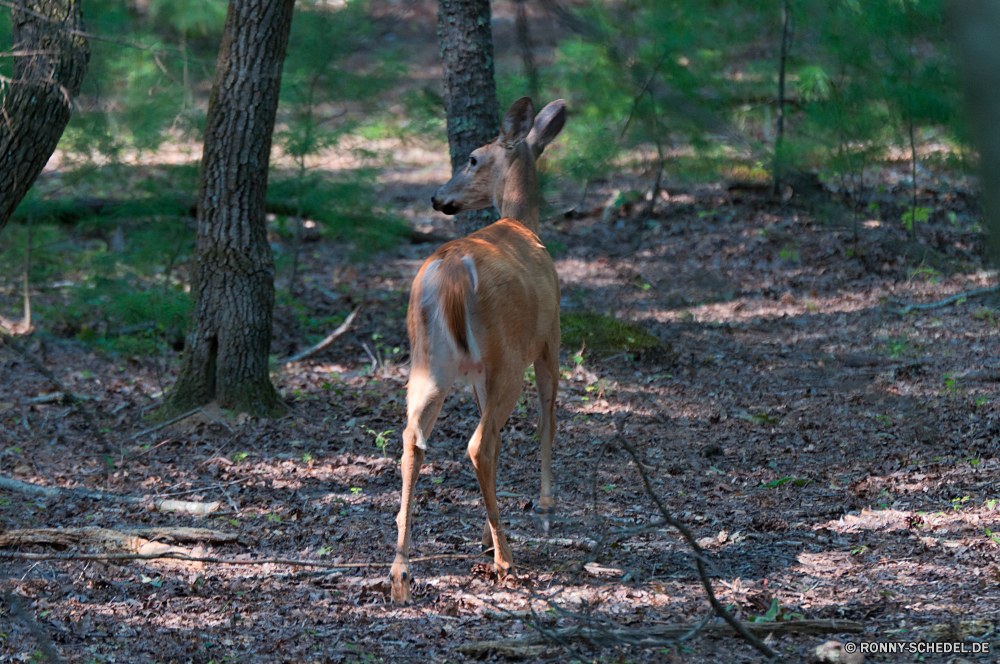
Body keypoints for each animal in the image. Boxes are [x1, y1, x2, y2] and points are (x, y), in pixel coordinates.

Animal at [388, 97, 568, 608]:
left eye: (471, 159)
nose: (437, 197)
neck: (523, 223)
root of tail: (449, 274)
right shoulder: (549, 339)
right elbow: (546, 420)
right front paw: (544, 508)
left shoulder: (478, 376)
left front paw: (488, 534)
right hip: (505, 355)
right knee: (478, 443)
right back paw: (506, 560)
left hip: (428, 361)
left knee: (412, 439)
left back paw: (401, 572)